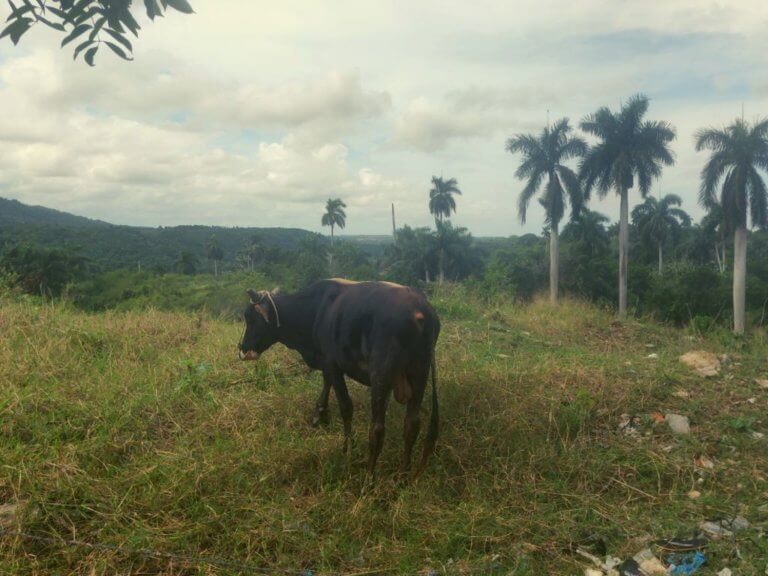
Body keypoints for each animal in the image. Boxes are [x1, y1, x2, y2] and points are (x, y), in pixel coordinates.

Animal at [240, 276, 444, 474]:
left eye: (250, 318)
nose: (242, 349)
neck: (316, 309)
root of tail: (419, 311)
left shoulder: (332, 363)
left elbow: (346, 407)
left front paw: (347, 448)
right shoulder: (327, 362)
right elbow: (326, 385)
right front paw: (319, 413)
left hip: (381, 375)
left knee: (378, 428)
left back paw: (370, 475)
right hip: (419, 374)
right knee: (412, 424)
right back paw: (404, 473)